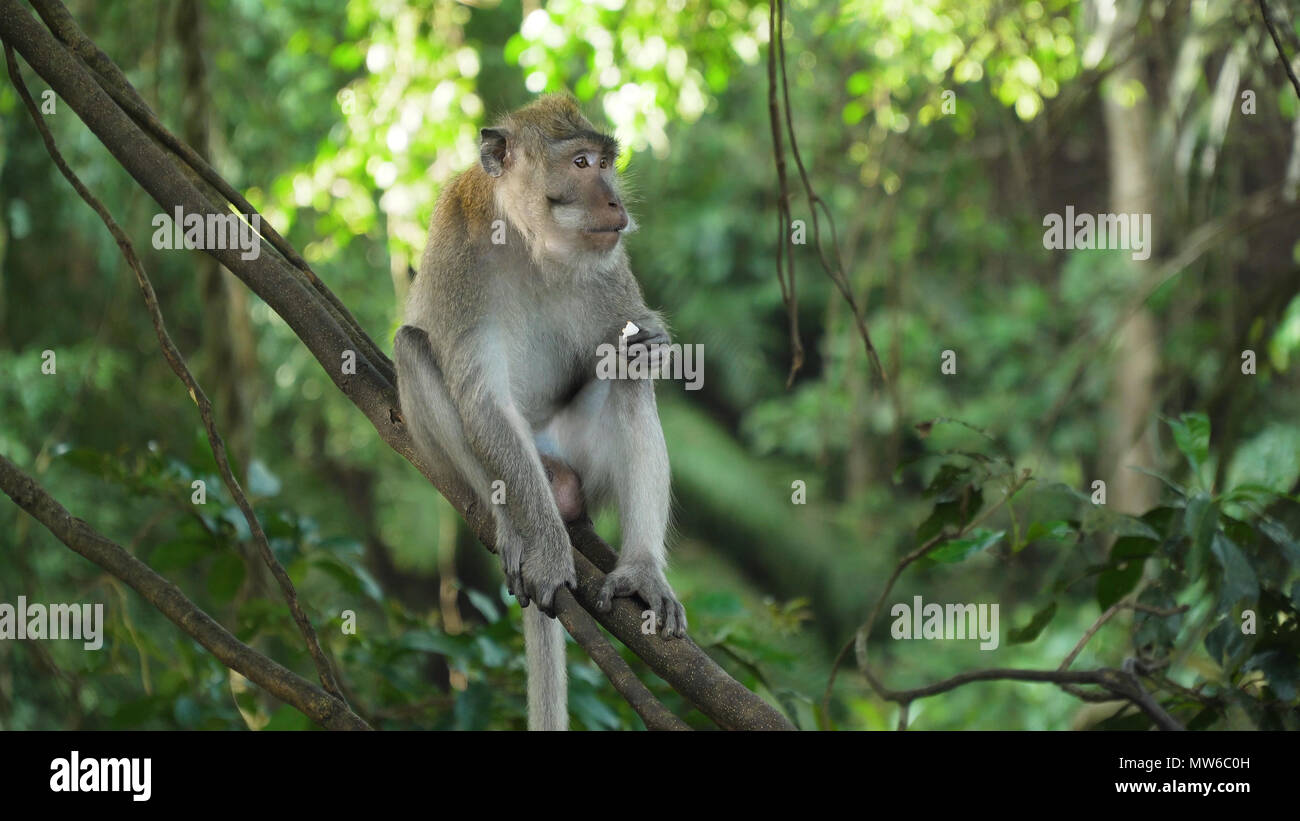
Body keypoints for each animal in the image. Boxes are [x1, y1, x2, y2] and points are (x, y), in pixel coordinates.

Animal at [393, 94, 686, 731]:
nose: (615, 202)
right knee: (413, 349)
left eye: (604, 162)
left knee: (624, 374)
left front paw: (654, 346)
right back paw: (513, 527)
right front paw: (549, 554)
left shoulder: (611, 265)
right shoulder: (461, 260)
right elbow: (483, 400)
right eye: (579, 163)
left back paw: (640, 571)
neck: (531, 242)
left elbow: (633, 344)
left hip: (582, 459)